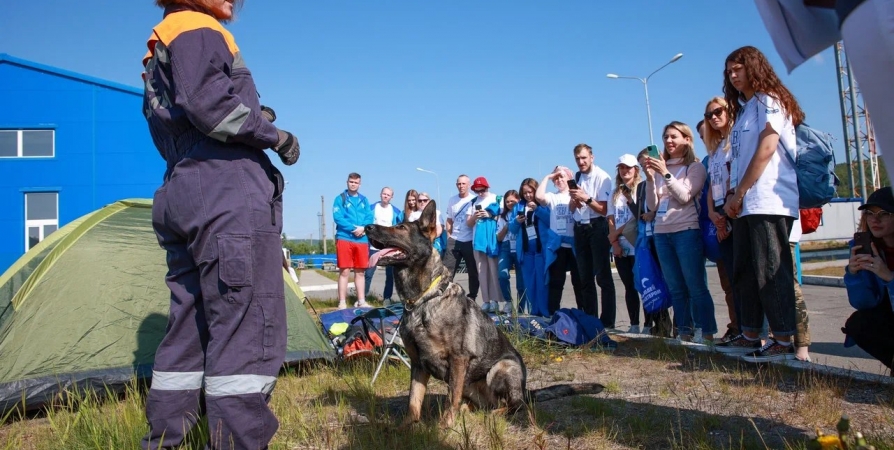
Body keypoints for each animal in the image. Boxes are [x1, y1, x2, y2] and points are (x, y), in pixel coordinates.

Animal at [366, 201, 608, 428]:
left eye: (401, 227)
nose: (367, 227)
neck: (423, 300)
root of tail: (525, 391)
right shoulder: (417, 364)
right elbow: (413, 401)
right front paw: (407, 427)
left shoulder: (458, 359)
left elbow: (450, 399)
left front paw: (445, 427)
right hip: (471, 385)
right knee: (480, 404)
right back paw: (470, 411)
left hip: (502, 368)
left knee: (515, 406)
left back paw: (493, 415)